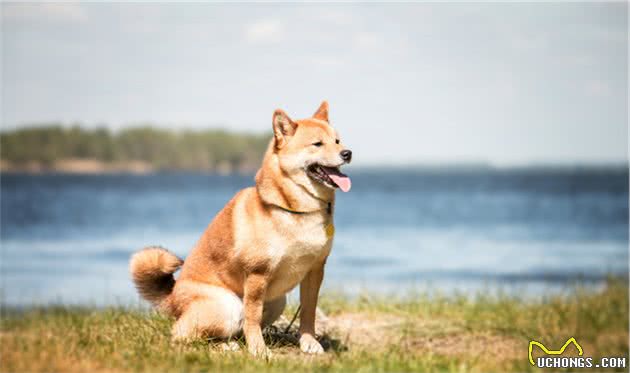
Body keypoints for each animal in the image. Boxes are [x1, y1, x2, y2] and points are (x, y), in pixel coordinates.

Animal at [130, 101, 354, 354]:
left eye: (338, 140)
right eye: (317, 144)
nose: (347, 153)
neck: (293, 210)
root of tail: (173, 298)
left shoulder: (315, 269)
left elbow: (308, 310)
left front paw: (308, 342)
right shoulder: (257, 273)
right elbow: (252, 317)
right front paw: (259, 350)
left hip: (277, 301)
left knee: (232, 331)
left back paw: (235, 343)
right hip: (226, 305)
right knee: (182, 334)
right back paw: (225, 347)